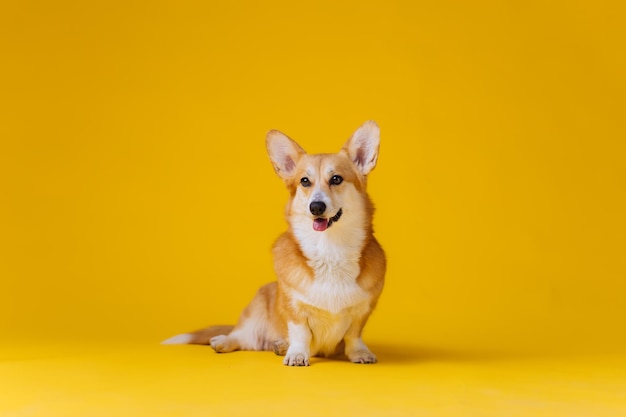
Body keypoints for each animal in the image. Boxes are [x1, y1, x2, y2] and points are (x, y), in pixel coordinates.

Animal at [162, 119, 386, 364]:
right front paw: (297, 354)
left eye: (336, 179)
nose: (316, 207)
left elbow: (354, 335)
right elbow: (300, 332)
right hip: (257, 310)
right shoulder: (294, 307)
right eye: (304, 181)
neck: (329, 249)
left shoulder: (364, 310)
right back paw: (224, 341)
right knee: (241, 337)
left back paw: (279, 345)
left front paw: (360, 353)